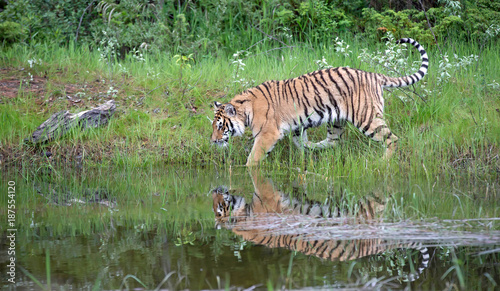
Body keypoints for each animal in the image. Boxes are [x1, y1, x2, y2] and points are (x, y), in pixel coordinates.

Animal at [209, 38, 428, 167]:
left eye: (220, 126)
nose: (212, 141)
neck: (246, 109)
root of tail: (373, 74)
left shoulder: (266, 134)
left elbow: (254, 157)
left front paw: (248, 170)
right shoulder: (296, 126)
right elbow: (299, 140)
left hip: (367, 117)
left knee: (393, 139)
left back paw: (383, 162)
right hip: (337, 120)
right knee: (333, 141)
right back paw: (315, 147)